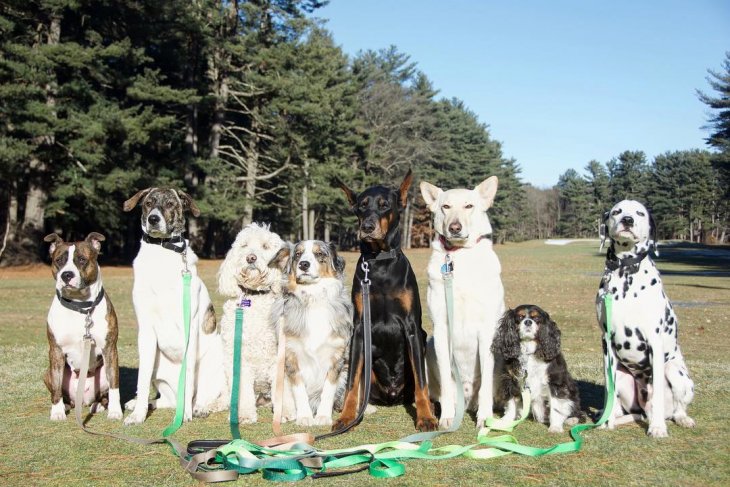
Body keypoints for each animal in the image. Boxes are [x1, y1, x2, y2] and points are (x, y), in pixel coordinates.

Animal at [122, 189, 226, 426]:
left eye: (170, 204)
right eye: (148, 203)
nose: (153, 218)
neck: (161, 253)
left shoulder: (189, 327)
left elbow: (188, 379)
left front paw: (186, 413)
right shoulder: (146, 329)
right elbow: (141, 380)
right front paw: (138, 414)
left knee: (205, 394)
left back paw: (198, 408)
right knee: (167, 401)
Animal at [596, 198, 692, 438]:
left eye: (639, 213)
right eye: (617, 212)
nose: (627, 220)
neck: (625, 273)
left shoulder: (654, 342)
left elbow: (657, 392)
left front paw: (657, 428)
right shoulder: (606, 341)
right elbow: (608, 389)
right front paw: (606, 421)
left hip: (675, 372)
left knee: (676, 407)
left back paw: (680, 418)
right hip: (622, 375)